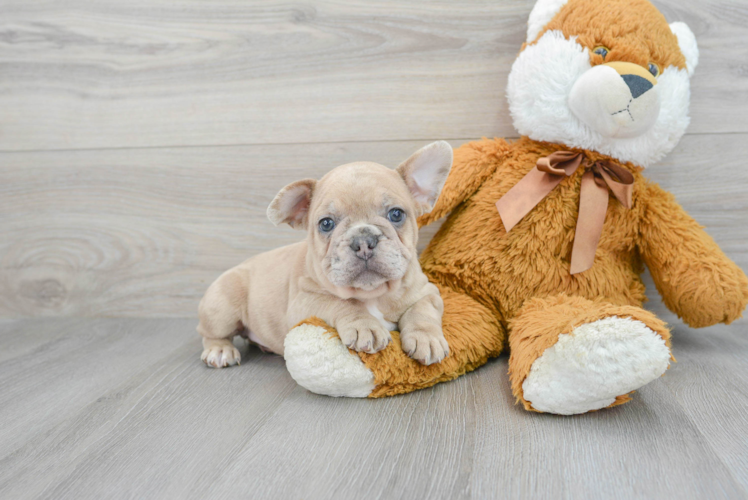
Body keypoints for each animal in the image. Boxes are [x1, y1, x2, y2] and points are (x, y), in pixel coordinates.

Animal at [196, 143, 452, 370]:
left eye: (396, 214)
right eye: (326, 224)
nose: (363, 242)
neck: (372, 294)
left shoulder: (427, 292)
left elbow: (422, 311)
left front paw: (427, 338)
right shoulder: (304, 302)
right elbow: (341, 303)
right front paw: (364, 324)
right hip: (222, 308)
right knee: (210, 334)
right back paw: (220, 351)